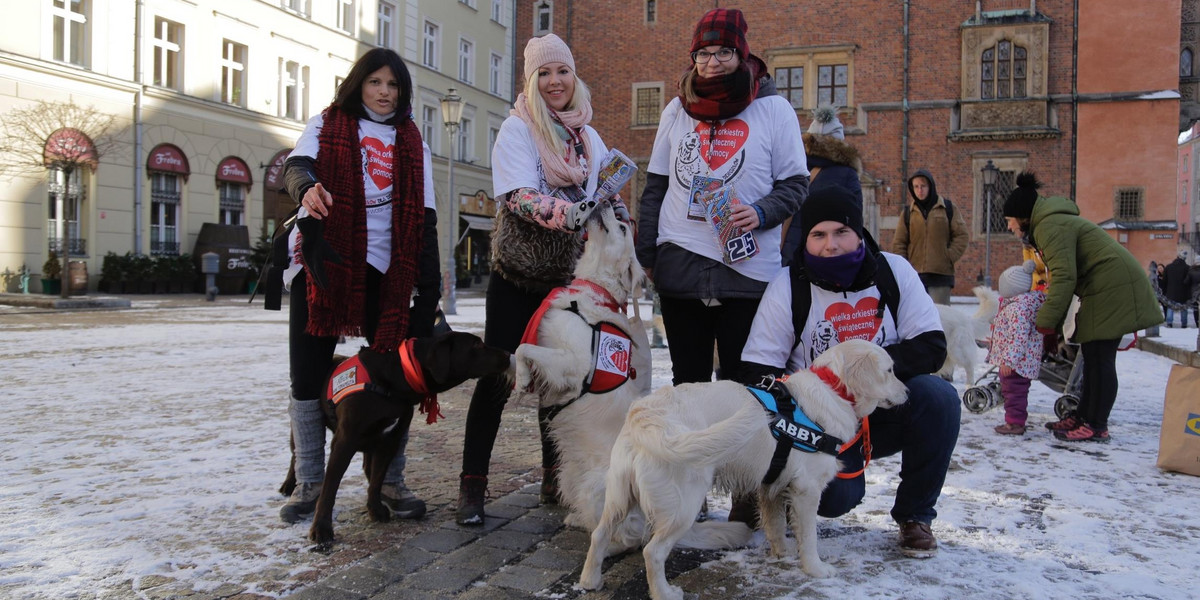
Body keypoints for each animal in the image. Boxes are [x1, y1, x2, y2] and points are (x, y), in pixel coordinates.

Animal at [580, 340, 907, 597]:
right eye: (890, 370)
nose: (907, 393)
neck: (833, 389)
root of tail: (645, 413)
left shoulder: (772, 485)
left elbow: (776, 526)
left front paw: (783, 554)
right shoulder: (807, 490)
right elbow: (809, 536)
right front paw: (815, 569)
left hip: (620, 496)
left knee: (599, 534)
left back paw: (590, 581)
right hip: (683, 506)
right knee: (653, 552)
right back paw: (664, 593)